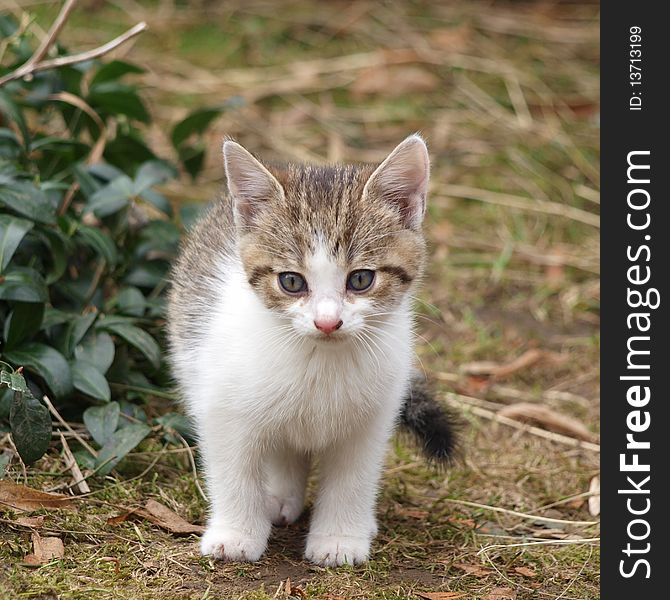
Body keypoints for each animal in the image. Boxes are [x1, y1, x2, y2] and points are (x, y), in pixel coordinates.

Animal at [167, 136, 456, 568]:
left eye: (361, 279)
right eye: (291, 281)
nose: (327, 322)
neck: (319, 360)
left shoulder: (372, 418)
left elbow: (353, 479)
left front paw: (339, 539)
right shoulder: (222, 404)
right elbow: (233, 468)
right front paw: (236, 534)